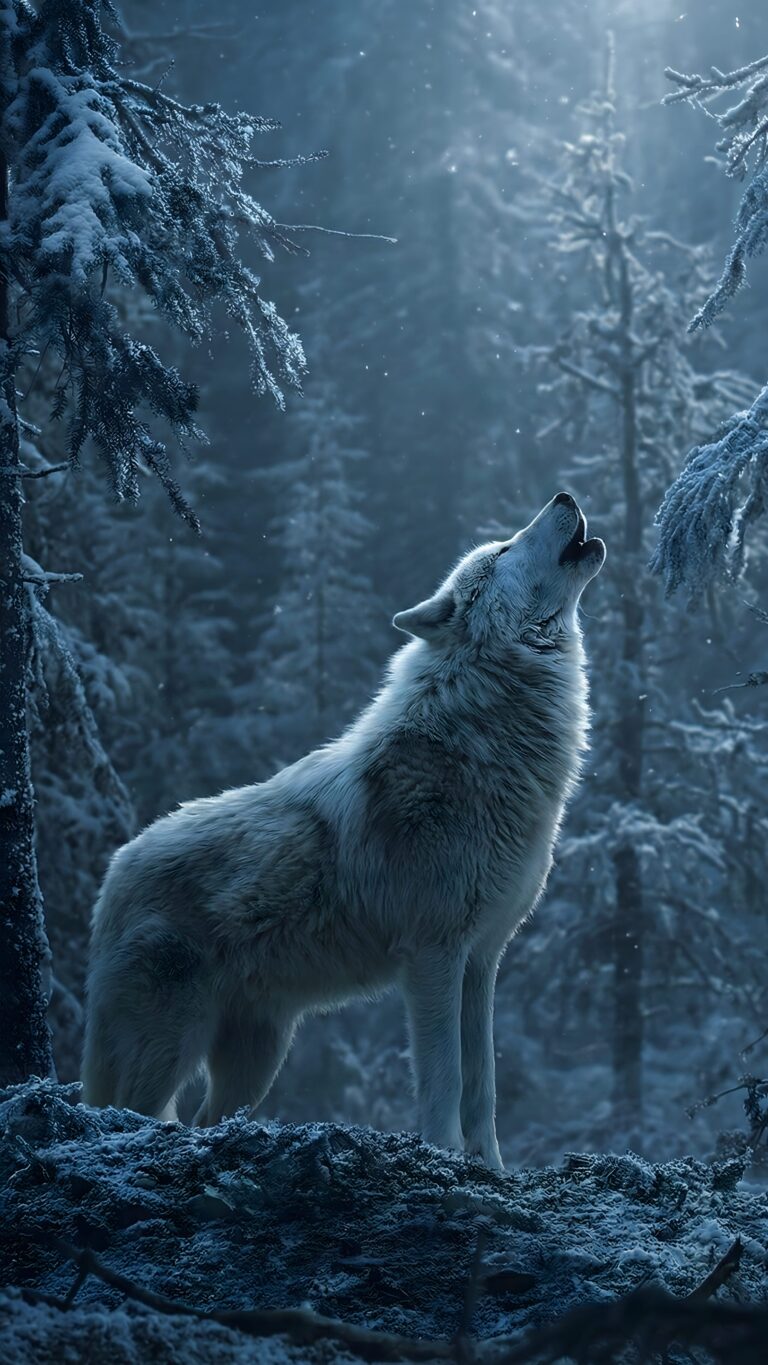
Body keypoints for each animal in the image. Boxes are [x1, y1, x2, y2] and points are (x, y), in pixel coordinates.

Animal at [82, 492, 604, 1169]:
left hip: (258, 1056)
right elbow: (445, 1079)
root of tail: (114, 873)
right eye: (505, 548)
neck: (483, 740)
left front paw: (491, 1168)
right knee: (128, 1114)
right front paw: (443, 1157)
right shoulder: (433, 957)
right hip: (171, 1044)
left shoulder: (482, 959)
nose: (563, 496)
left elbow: (483, 1086)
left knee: (204, 1118)